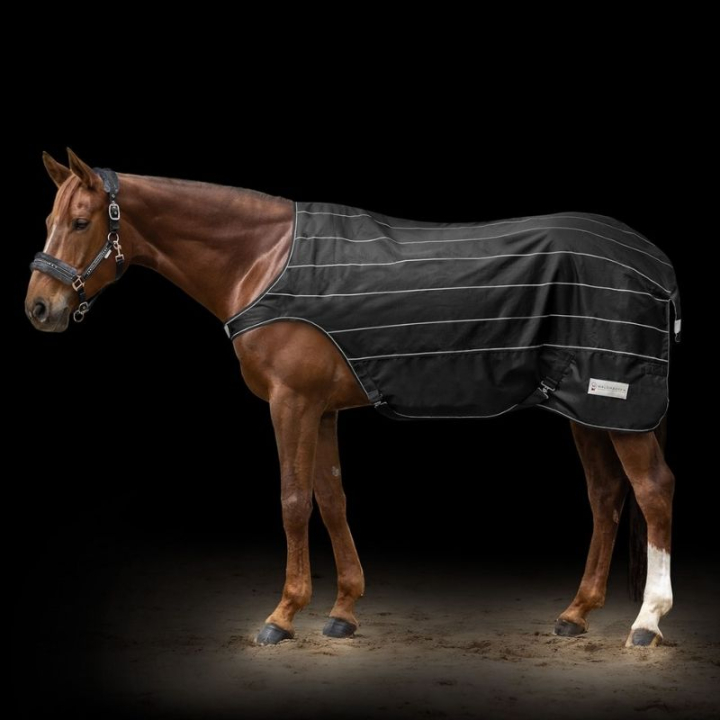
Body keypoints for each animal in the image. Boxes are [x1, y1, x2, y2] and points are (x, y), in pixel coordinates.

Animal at [26, 150, 678, 648]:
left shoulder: (290, 403)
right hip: (586, 407)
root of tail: (656, 263)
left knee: (652, 491)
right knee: (606, 495)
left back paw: (647, 623)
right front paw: (342, 610)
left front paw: (283, 615)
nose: (39, 308)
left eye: (81, 222)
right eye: (50, 219)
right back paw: (577, 613)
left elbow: (293, 501)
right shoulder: (322, 408)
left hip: (619, 406)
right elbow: (332, 498)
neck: (262, 260)